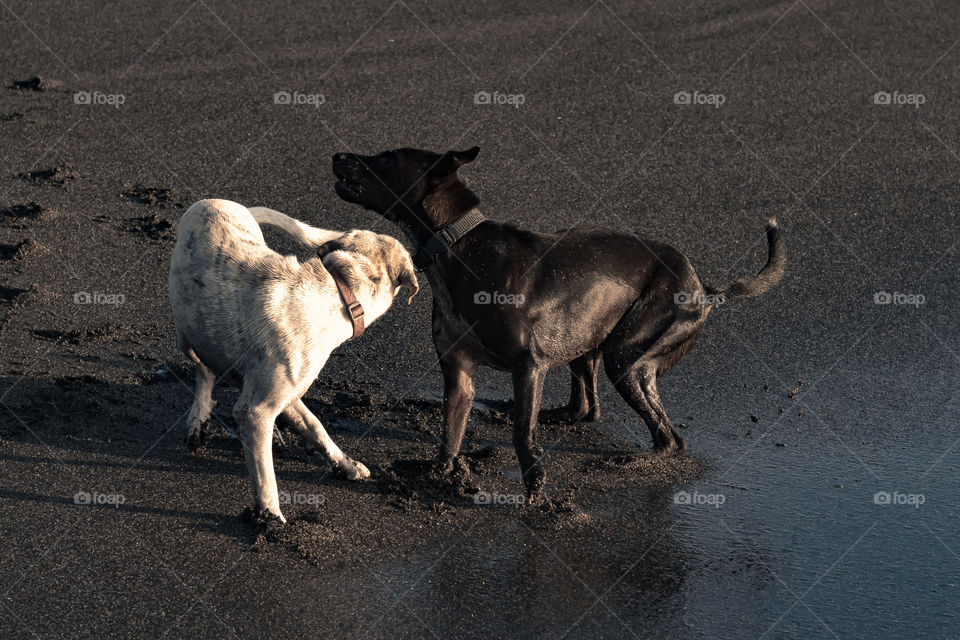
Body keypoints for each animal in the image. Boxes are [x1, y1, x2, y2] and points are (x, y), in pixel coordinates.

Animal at [169, 199, 416, 520]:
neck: (342, 292)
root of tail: (216, 201)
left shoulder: (290, 389)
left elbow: (315, 425)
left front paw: (345, 464)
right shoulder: (256, 410)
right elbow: (266, 478)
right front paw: (271, 519)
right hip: (186, 334)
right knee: (203, 371)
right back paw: (199, 417)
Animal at [334, 148, 784, 502]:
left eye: (386, 158)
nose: (337, 155)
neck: (458, 248)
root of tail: (702, 287)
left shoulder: (528, 366)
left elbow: (521, 432)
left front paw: (535, 483)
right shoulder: (459, 372)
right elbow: (451, 432)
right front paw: (439, 476)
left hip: (628, 358)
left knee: (668, 437)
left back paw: (631, 463)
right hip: (587, 339)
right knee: (587, 407)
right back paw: (559, 417)